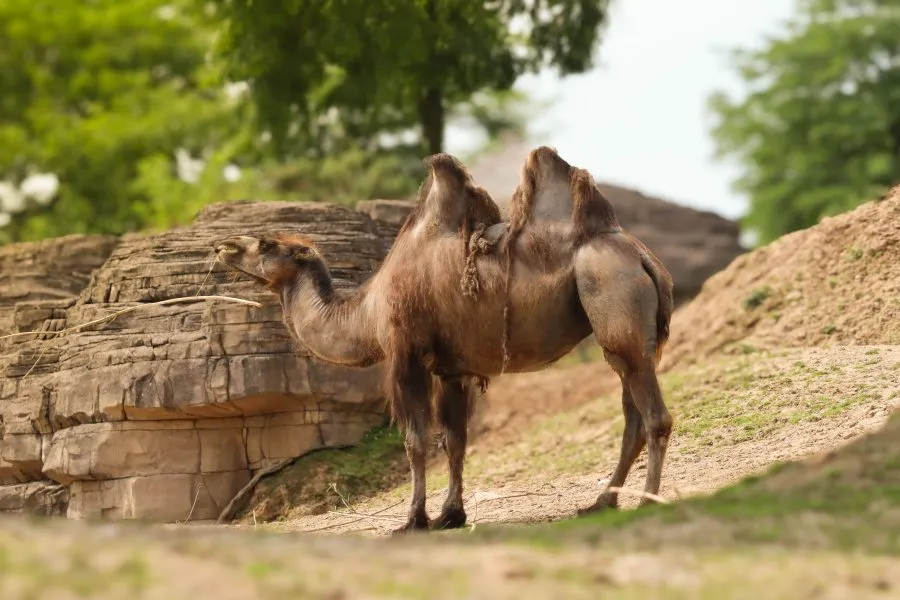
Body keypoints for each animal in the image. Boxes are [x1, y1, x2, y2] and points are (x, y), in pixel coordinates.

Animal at [213, 148, 674, 533]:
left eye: (267, 244)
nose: (224, 246)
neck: (368, 312)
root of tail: (642, 257)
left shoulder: (406, 354)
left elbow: (416, 441)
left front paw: (412, 520)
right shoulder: (453, 370)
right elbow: (454, 441)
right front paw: (451, 515)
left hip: (612, 296)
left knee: (654, 416)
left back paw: (646, 501)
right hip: (627, 336)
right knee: (632, 415)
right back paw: (600, 503)